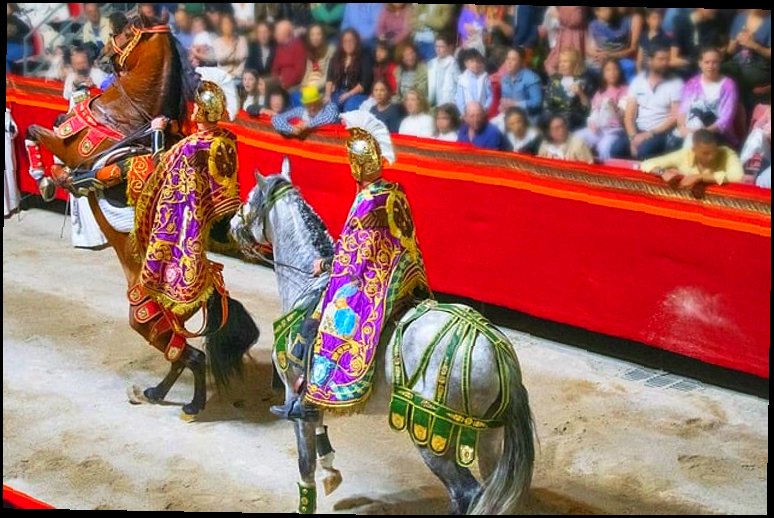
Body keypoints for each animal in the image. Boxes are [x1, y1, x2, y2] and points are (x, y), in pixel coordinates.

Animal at [26, 13, 258, 418]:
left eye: (122, 30)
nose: (100, 56)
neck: (125, 116)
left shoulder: (69, 145)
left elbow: (36, 130)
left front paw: (47, 177)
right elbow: (48, 125)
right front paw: (56, 179)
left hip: (144, 317)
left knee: (191, 356)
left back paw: (191, 405)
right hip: (167, 320)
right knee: (181, 356)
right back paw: (154, 392)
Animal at [227, 160, 536, 516]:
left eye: (251, 197)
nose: (231, 225)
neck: (306, 283)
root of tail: (496, 352)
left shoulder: (294, 394)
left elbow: (305, 464)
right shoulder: (313, 397)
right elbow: (319, 428)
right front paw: (331, 470)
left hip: (435, 439)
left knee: (466, 493)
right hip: (488, 440)